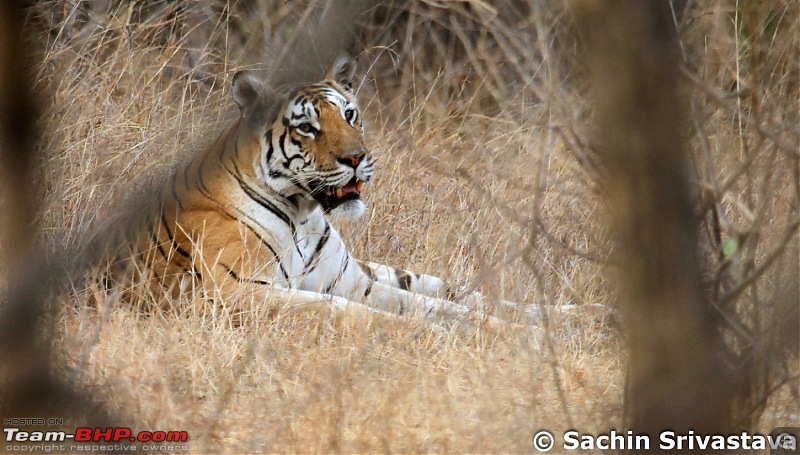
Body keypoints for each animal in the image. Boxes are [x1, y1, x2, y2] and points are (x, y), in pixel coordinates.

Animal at [106, 55, 592, 330]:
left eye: (350, 114)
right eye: (307, 127)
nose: (357, 158)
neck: (303, 215)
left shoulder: (352, 282)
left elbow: (440, 306)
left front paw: (508, 333)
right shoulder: (234, 292)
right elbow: (344, 312)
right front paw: (430, 336)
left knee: (461, 290)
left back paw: (584, 315)